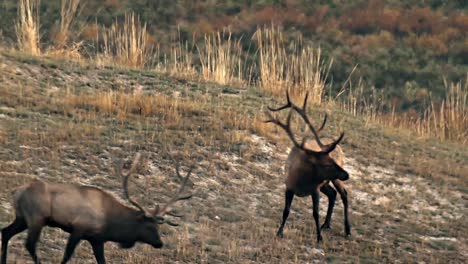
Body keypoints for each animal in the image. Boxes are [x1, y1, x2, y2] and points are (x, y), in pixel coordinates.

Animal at [0, 153, 193, 264]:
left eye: (158, 227)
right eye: (148, 226)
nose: (160, 243)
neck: (111, 224)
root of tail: (16, 191)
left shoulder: (97, 240)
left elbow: (102, 261)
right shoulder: (78, 229)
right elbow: (66, 256)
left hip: (22, 218)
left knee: (6, 232)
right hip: (36, 218)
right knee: (29, 244)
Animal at [266, 91, 350, 243]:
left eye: (332, 159)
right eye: (326, 163)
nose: (347, 174)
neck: (301, 181)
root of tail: (341, 149)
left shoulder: (314, 189)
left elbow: (315, 213)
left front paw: (319, 237)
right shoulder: (289, 187)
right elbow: (286, 211)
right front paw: (279, 232)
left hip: (333, 179)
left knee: (343, 194)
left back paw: (347, 230)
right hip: (326, 182)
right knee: (333, 194)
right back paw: (326, 224)